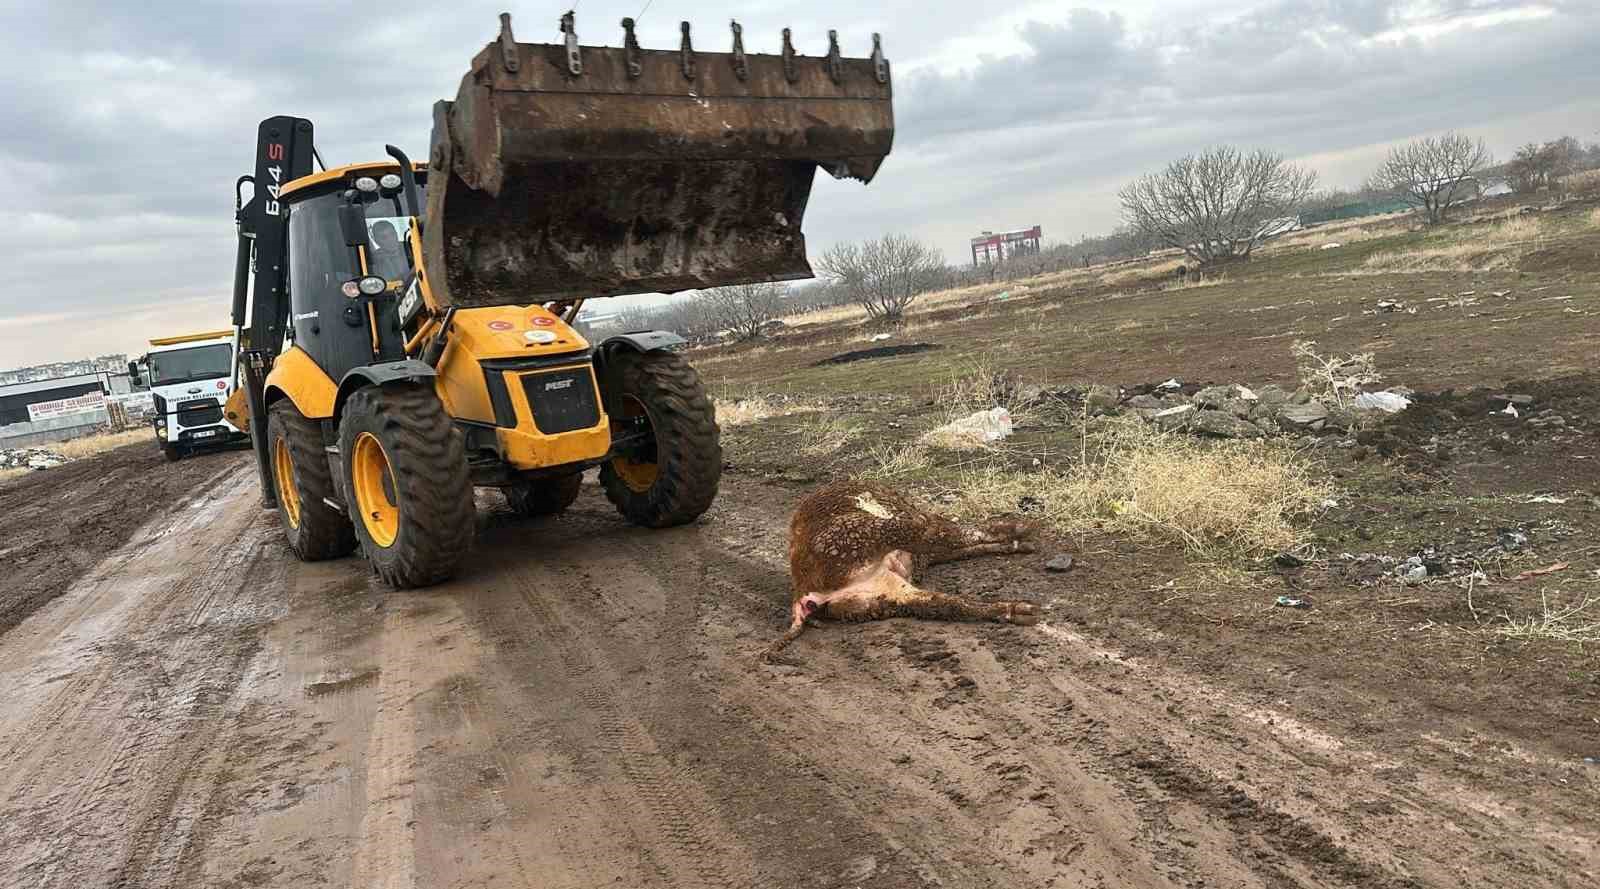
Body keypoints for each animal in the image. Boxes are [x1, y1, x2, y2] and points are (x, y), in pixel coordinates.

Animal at [768, 479, 1043, 658]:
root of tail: (803, 591)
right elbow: (963, 535)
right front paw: (1019, 534)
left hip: (882, 597)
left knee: (945, 604)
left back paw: (1018, 610)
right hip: (877, 533)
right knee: (939, 534)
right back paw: (1022, 530)